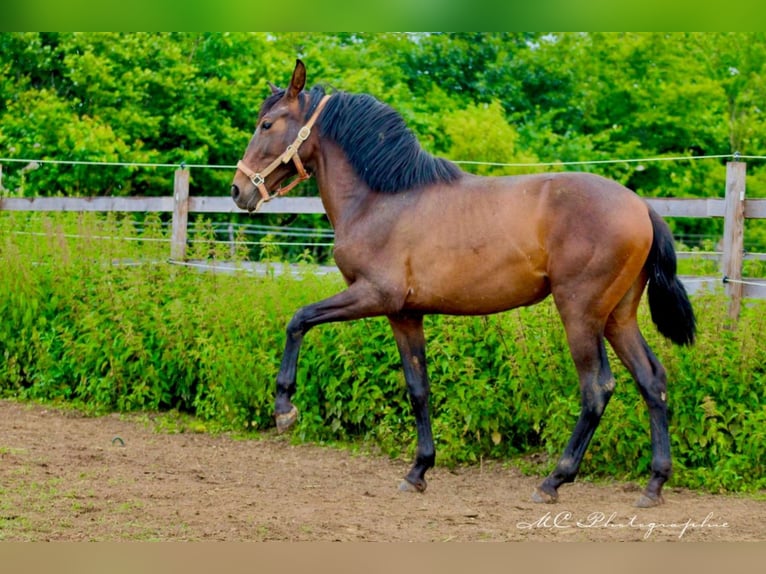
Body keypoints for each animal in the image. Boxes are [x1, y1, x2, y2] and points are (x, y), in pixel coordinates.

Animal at [231, 58, 700, 508]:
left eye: (267, 124)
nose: (238, 191)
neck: (381, 199)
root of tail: (641, 207)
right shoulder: (404, 314)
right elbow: (418, 388)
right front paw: (418, 471)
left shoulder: (372, 295)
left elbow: (299, 320)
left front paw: (284, 407)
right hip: (617, 317)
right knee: (652, 381)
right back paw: (654, 484)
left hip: (581, 314)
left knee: (597, 389)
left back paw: (554, 481)